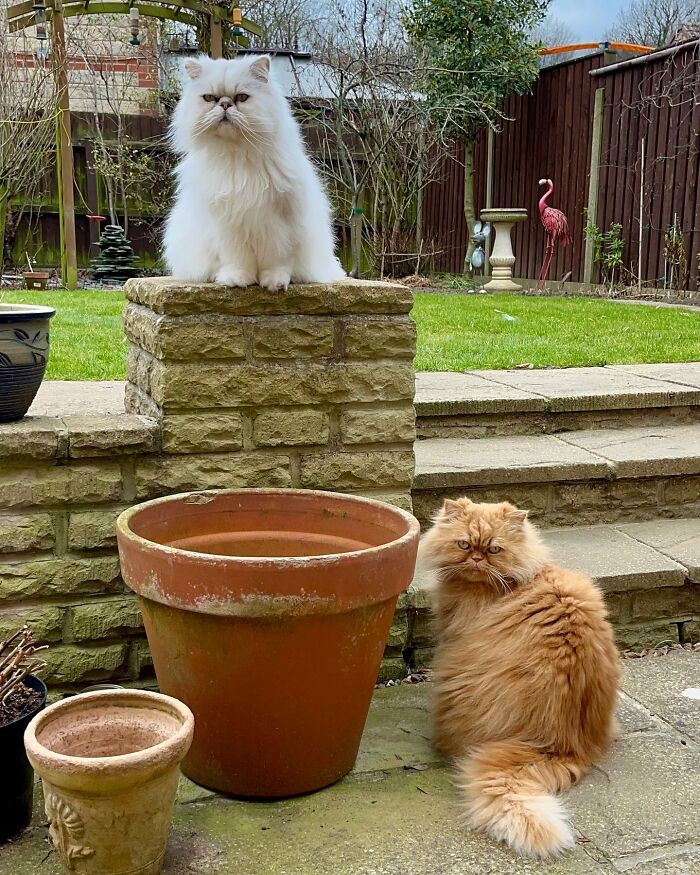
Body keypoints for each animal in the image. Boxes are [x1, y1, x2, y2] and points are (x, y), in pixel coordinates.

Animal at [167, 55, 348, 294]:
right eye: (209, 98)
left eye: (242, 98)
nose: (225, 104)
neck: (237, 155)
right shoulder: (228, 225)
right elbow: (237, 259)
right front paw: (237, 279)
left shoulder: (280, 223)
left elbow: (277, 260)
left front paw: (274, 283)